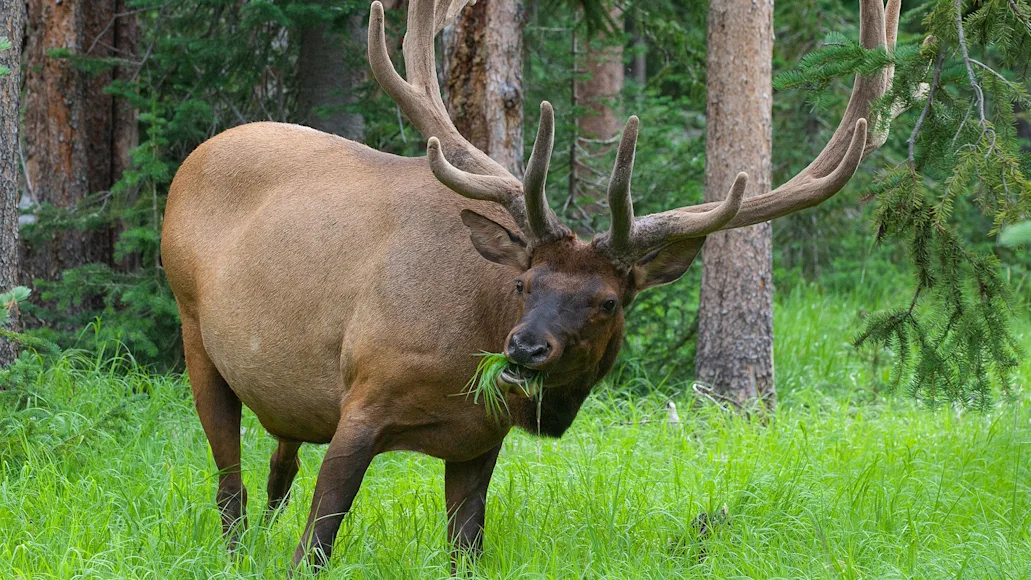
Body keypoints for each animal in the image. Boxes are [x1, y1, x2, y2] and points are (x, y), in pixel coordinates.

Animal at [160, 0, 901, 570]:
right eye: (524, 283)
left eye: (607, 300)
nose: (523, 349)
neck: (464, 353)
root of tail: (195, 157)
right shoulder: (363, 399)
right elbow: (315, 546)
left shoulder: (476, 441)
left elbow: (466, 551)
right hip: (195, 333)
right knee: (230, 488)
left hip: (286, 399)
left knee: (276, 469)